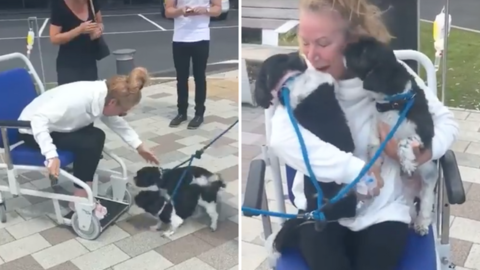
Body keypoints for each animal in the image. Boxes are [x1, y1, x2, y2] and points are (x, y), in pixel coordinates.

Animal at [344, 35, 438, 234]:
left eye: (364, 51)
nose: (346, 46)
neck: (394, 102)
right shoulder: (377, 124)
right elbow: (373, 143)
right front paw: (374, 162)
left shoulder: (425, 135)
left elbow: (405, 141)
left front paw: (407, 162)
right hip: (407, 195)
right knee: (410, 209)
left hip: (428, 180)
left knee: (426, 206)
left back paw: (421, 224)